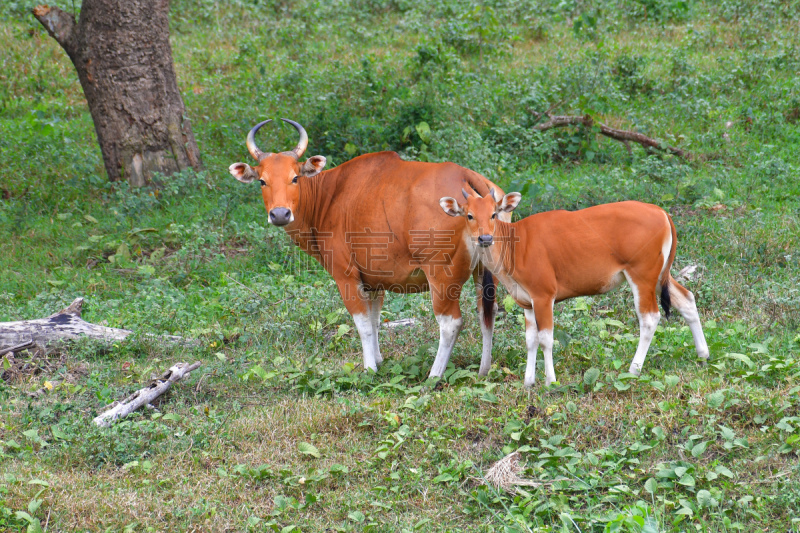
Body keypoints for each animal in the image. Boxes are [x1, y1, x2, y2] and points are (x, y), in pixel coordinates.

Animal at [228, 120, 510, 378]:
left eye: (294, 178)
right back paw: (484, 370)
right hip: (487, 272)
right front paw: (379, 359)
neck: (328, 196)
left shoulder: (346, 276)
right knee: (487, 312)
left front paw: (369, 368)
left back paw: (434, 375)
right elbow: (375, 321)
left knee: (451, 323)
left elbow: (362, 324)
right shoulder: (375, 279)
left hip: (442, 276)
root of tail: (466, 178)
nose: (279, 214)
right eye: (262, 181)